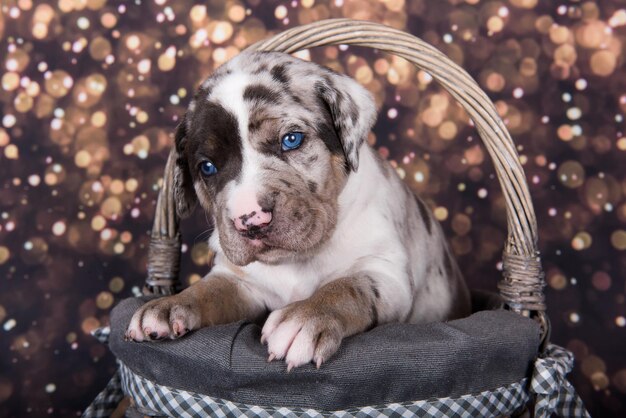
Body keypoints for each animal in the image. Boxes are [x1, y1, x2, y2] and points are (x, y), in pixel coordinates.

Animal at [125, 51, 468, 370]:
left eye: (291, 140)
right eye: (207, 168)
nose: (251, 220)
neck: (299, 259)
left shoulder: (386, 273)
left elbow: (347, 286)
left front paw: (306, 317)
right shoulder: (242, 282)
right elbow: (210, 289)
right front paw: (170, 304)